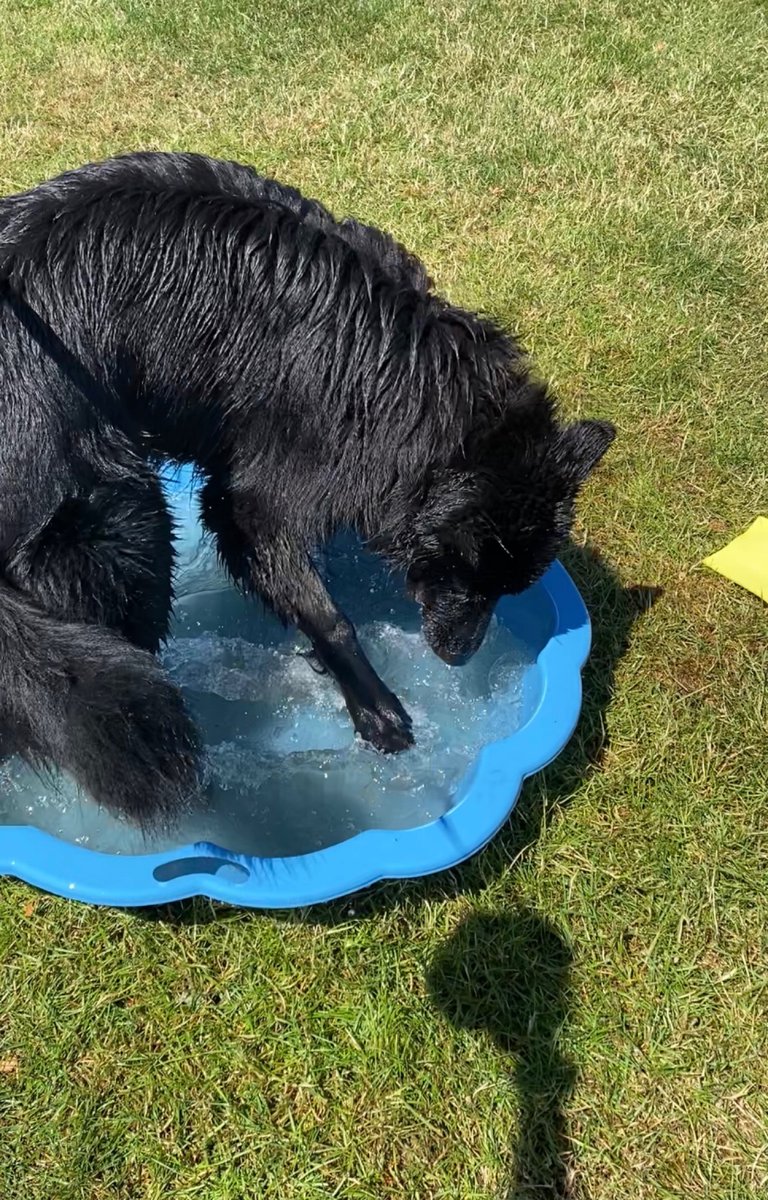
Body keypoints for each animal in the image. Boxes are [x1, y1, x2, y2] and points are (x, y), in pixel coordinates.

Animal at [0, 150, 614, 825]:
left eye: (508, 588)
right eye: (466, 572)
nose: (459, 656)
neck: (404, 381)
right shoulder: (253, 501)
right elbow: (328, 612)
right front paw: (376, 709)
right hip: (125, 526)